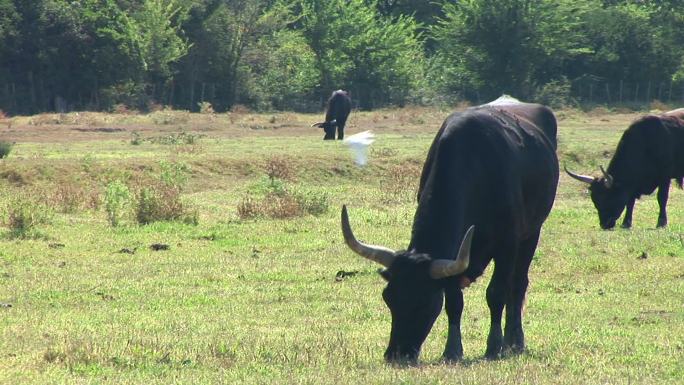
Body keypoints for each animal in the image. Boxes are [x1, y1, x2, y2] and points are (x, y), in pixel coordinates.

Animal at [340, 97, 560, 364]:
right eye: (388, 297)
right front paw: (452, 350)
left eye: (424, 303)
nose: (396, 354)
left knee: (517, 285)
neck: (475, 163)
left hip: (531, 234)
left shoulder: (507, 244)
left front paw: (494, 346)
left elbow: (496, 293)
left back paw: (514, 341)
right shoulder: (455, 255)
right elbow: (455, 302)